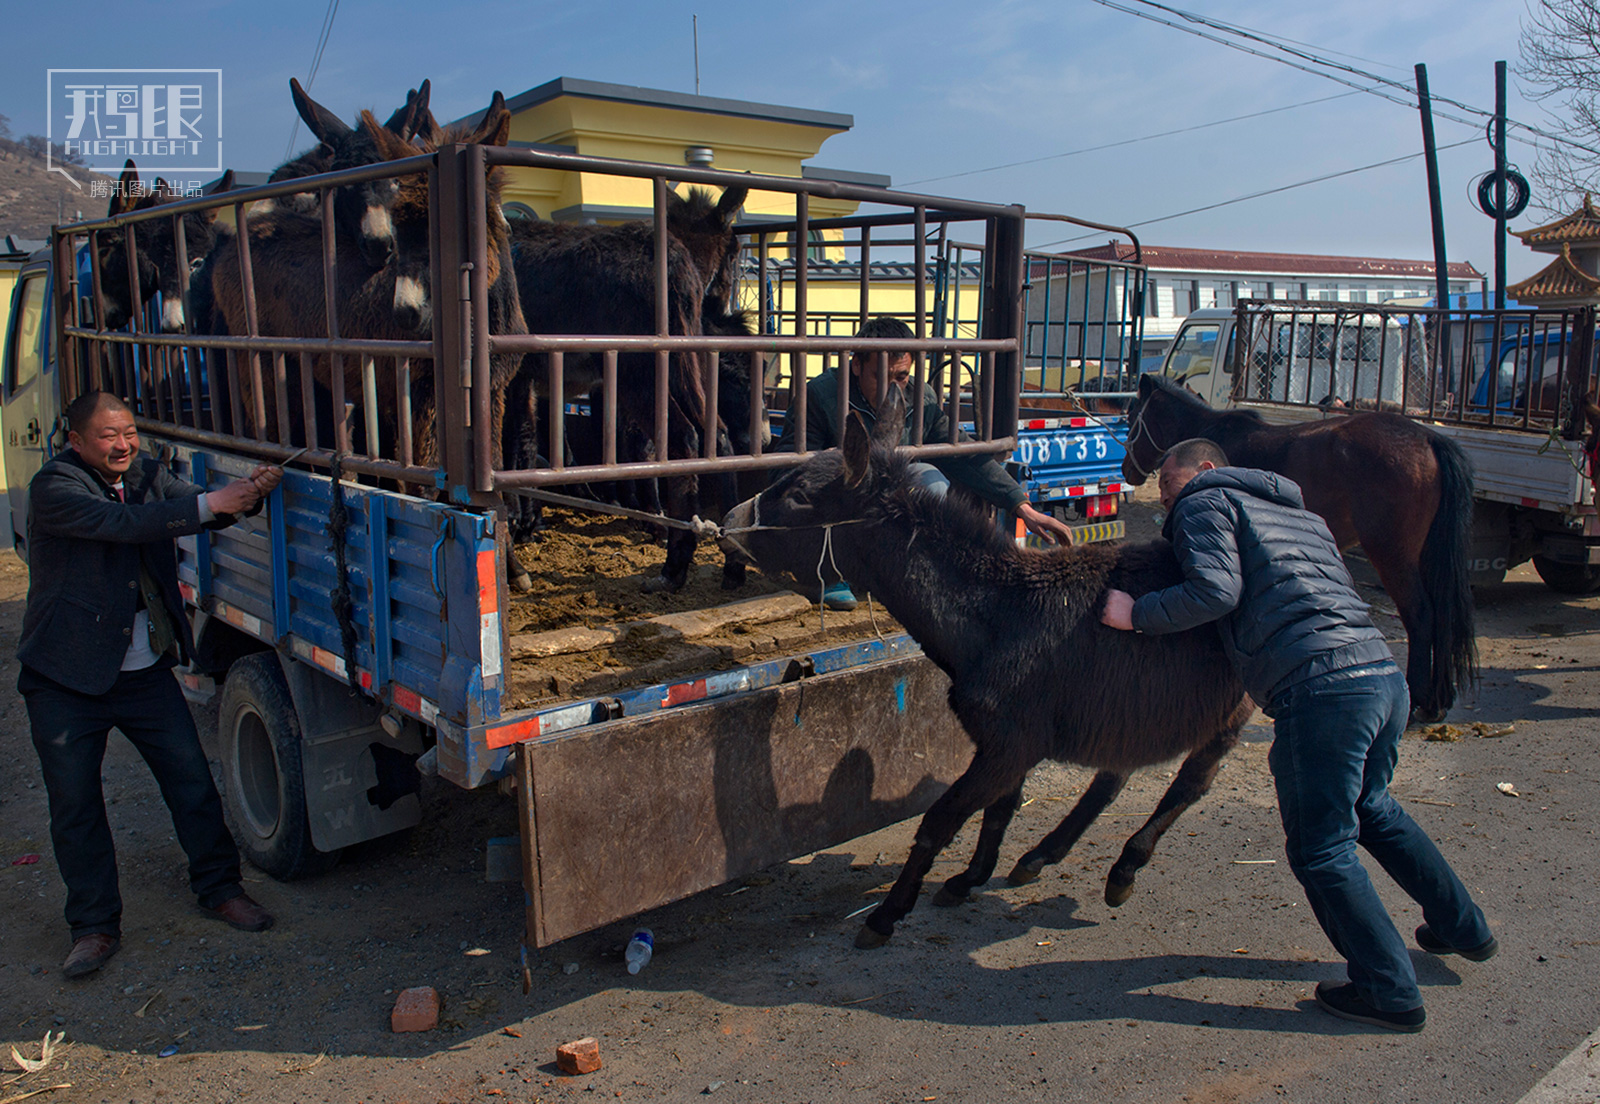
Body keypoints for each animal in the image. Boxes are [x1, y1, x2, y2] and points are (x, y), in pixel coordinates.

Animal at [720, 380, 1254, 947]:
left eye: (799, 496)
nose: (729, 521)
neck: (999, 612)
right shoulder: (1011, 743)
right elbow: (998, 809)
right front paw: (969, 877)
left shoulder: (1008, 742)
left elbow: (942, 819)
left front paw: (887, 915)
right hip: (1134, 708)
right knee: (1114, 776)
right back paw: (1041, 857)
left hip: (1233, 706)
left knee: (1192, 782)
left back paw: (1124, 868)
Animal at [1113, 374, 1472, 716]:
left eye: (1131, 416)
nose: (1126, 470)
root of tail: (1429, 438)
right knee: (1442, 614)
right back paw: (1438, 701)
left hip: (1392, 555)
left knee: (1420, 614)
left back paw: (1419, 699)